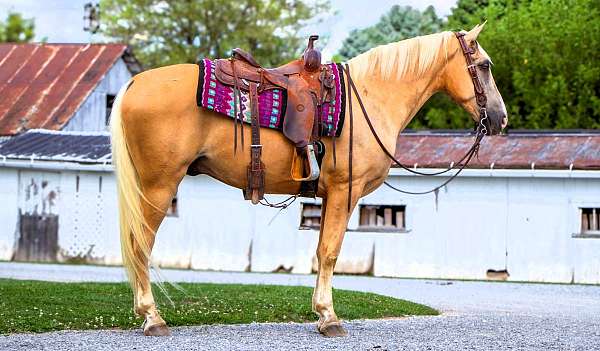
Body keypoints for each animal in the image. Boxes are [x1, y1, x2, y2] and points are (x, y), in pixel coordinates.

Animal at [109, 23, 506, 336]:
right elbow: (330, 252)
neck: (370, 98)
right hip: (159, 187)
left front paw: (320, 311)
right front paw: (329, 318)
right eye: (485, 66)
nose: (500, 118)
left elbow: (320, 251)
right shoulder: (346, 192)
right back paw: (153, 319)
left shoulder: (330, 195)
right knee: (140, 245)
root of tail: (134, 83)